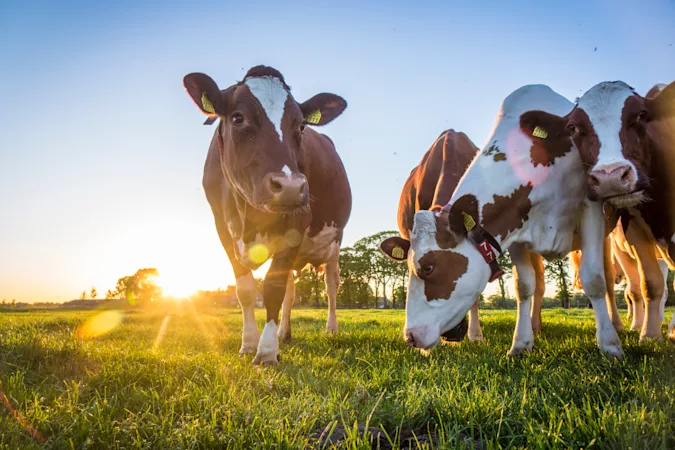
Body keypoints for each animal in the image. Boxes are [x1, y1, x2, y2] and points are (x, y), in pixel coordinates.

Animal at [182, 66, 351, 365]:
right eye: (238, 118)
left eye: (302, 125)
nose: (291, 186)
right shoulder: (223, 229)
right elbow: (246, 290)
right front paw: (249, 343)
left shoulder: (297, 223)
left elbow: (273, 289)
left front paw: (267, 352)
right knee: (292, 290)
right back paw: (285, 333)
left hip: (335, 241)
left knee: (331, 285)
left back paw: (331, 329)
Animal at [522, 81, 675, 340]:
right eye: (573, 127)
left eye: (641, 115)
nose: (610, 177)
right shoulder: (635, 231)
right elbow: (649, 285)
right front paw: (650, 335)